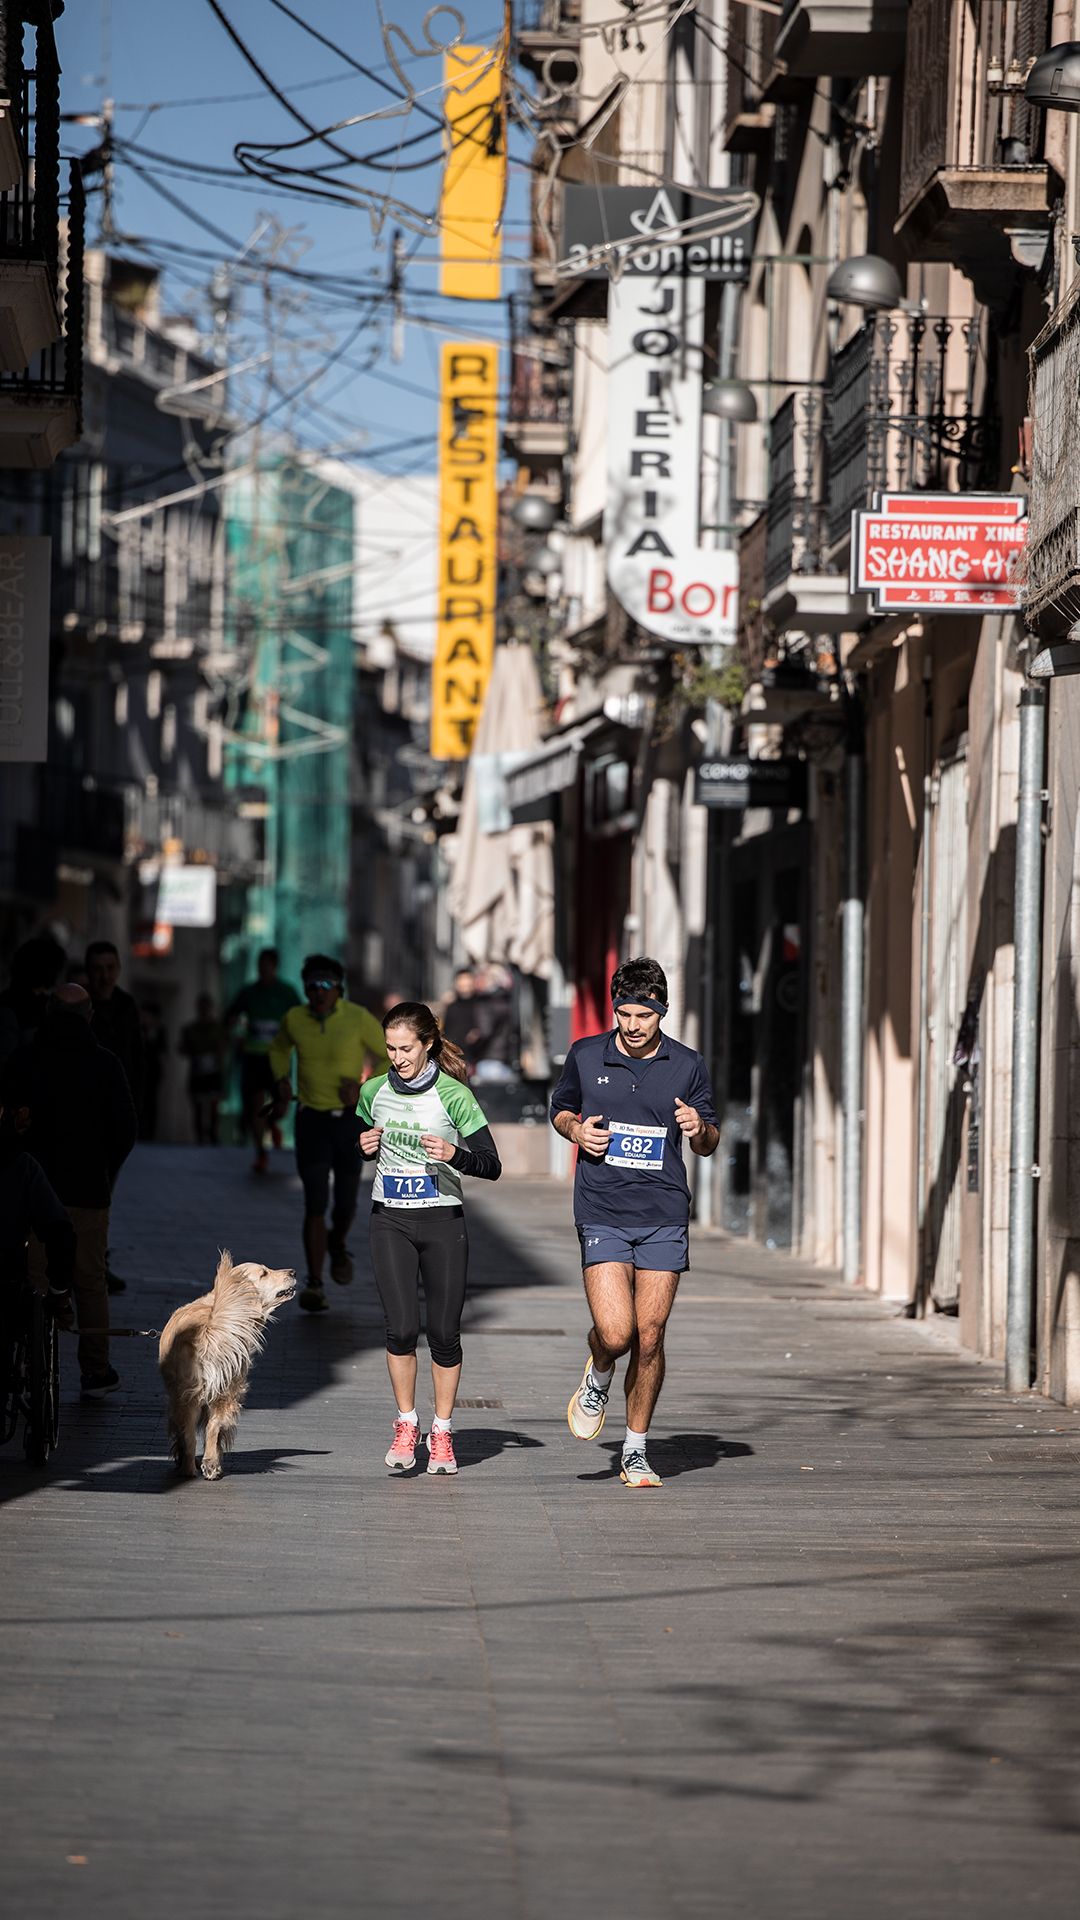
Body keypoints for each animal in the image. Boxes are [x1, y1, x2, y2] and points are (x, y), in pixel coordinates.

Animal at [158, 1251, 294, 1474]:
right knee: (208, 1427)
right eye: (264, 1273)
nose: (293, 1272)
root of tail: (208, 1327)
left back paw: (193, 1467)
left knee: (192, 1432)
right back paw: (206, 1464)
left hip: (191, 1395)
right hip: (225, 1388)